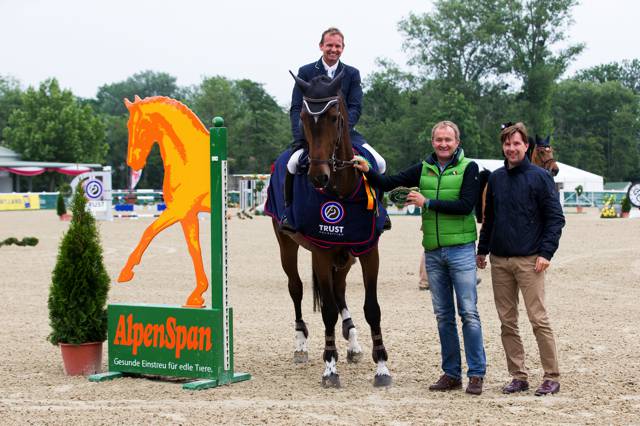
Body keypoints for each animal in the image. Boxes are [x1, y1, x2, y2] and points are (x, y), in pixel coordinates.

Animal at [116, 96, 211, 308]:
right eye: (128, 125)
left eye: (142, 126)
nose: (132, 162)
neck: (188, 158)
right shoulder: (188, 215)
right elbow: (194, 249)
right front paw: (197, 295)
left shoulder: (178, 210)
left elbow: (148, 231)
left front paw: (126, 272)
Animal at [268, 72, 392, 390]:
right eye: (302, 117)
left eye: (335, 117)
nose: (318, 177)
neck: (343, 188)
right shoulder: (322, 252)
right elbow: (327, 312)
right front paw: (329, 368)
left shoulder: (368, 250)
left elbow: (372, 308)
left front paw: (381, 367)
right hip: (288, 245)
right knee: (297, 288)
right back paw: (301, 343)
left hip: (345, 256)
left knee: (339, 290)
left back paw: (352, 340)